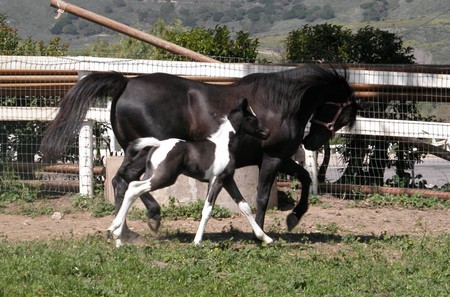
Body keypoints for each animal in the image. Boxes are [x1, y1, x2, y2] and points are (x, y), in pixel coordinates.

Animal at [107, 98, 272, 246]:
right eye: (252, 118)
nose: (267, 132)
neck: (225, 145)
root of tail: (158, 144)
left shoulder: (228, 180)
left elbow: (244, 206)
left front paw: (265, 238)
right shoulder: (217, 179)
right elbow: (208, 209)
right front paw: (197, 241)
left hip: (152, 174)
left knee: (133, 187)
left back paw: (118, 234)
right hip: (164, 178)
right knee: (134, 188)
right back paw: (114, 228)